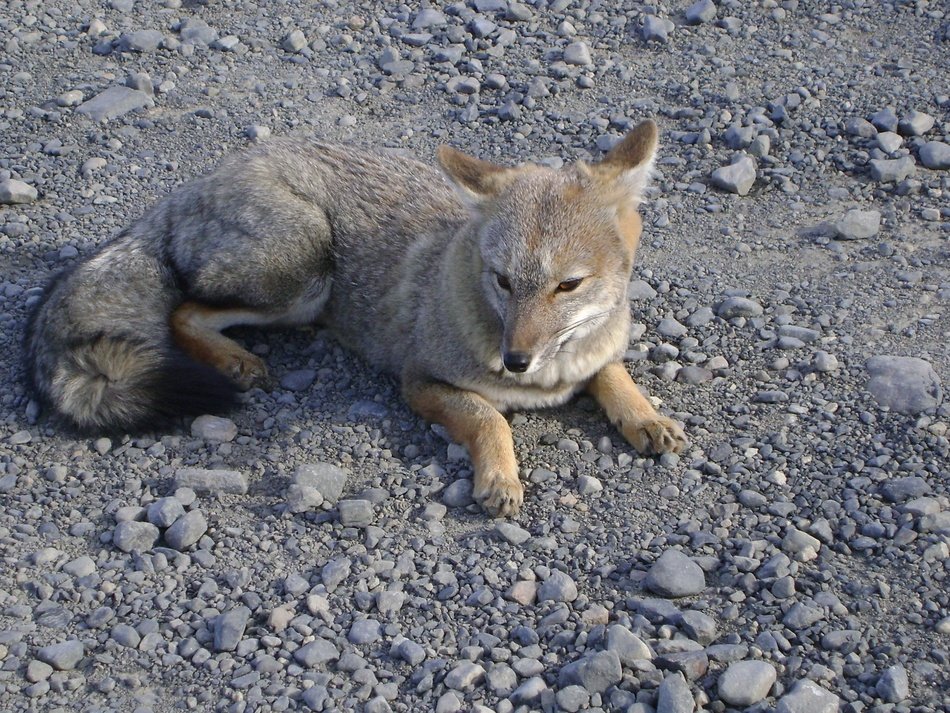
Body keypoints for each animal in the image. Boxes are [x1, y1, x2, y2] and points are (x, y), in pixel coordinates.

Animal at [24, 119, 686, 516]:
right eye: (502, 280)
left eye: (567, 285)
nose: (515, 360)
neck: (551, 376)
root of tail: (193, 185)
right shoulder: (420, 382)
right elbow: (488, 419)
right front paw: (500, 476)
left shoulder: (594, 352)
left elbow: (612, 372)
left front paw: (645, 415)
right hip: (303, 268)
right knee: (185, 310)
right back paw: (235, 361)